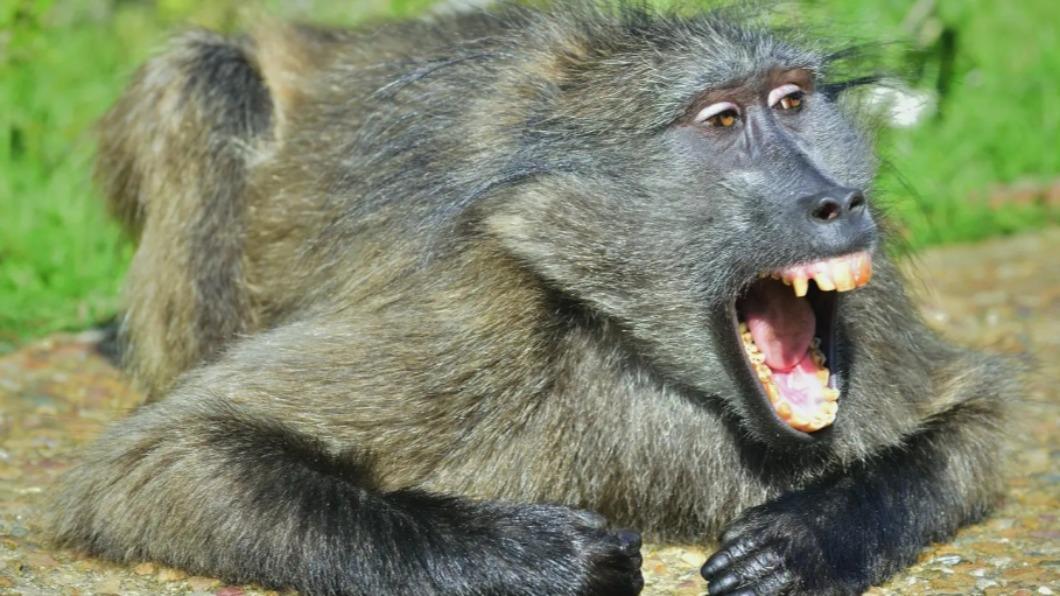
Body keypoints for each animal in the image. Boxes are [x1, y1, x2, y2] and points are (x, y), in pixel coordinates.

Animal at [48, 3, 1011, 595]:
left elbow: (972, 423)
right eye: (723, 121)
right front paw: (545, 556)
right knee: (208, 77)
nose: (840, 202)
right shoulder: (467, 316)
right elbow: (170, 459)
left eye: (792, 101)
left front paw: (800, 541)